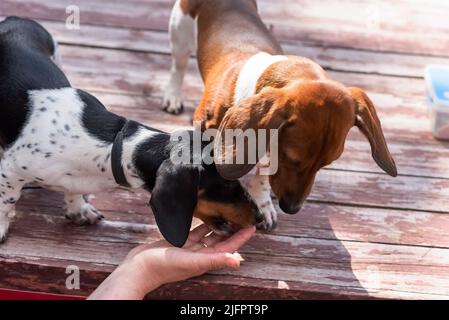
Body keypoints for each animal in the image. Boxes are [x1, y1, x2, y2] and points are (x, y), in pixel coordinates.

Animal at [0, 16, 260, 248]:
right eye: (226, 185)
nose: (259, 219)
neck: (112, 145)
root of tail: (14, 19)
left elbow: (73, 191)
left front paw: (78, 209)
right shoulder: (11, 171)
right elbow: (7, 201)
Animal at [164, 0, 396, 230]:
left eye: (326, 164)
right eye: (291, 158)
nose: (291, 208)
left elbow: (262, 177)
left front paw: (262, 204)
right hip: (179, 37)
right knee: (178, 67)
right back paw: (172, 97)